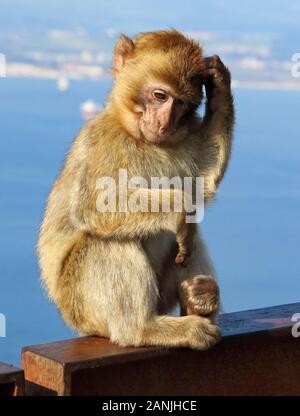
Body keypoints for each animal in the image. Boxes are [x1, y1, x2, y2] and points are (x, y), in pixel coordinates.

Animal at [37, 29, 234, 350]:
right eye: (159, 95)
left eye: (182, 103)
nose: (164, 122)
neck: (139, 138)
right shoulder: (104, 144)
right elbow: (93, 207)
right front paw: (180, 209)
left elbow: (199, 182)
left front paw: (219, 83)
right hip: (83, 308)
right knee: (105, 241)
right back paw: (144, 329)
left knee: (188, 240)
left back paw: (200, 300)